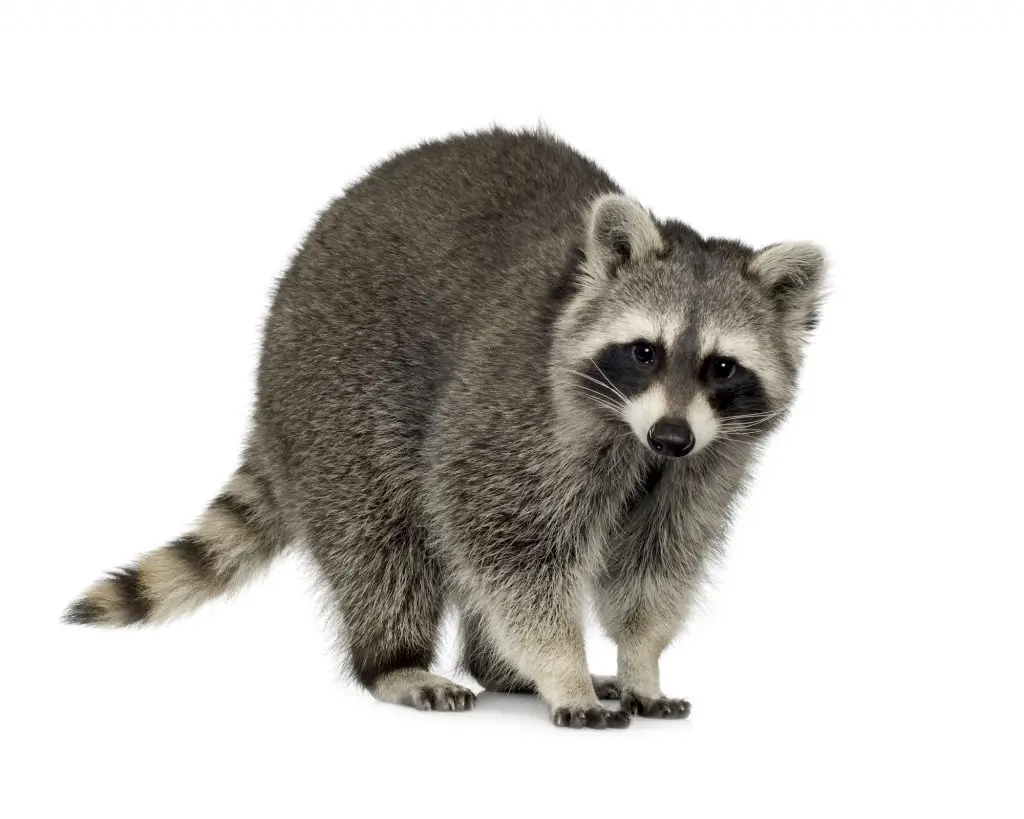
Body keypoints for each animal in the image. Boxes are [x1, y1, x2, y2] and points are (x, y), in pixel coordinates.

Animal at [66, 127, 823, 728]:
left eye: (722, 367)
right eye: (645, 352)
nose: (670, 438)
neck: (633, 433)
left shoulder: (708, 462)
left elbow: (658, 561)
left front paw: (640, 661)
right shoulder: (516, 414)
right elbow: (510, 545)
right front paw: (562, 667)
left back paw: (498, 667)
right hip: (333, 397)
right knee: (382, 543)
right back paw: (395, 660)